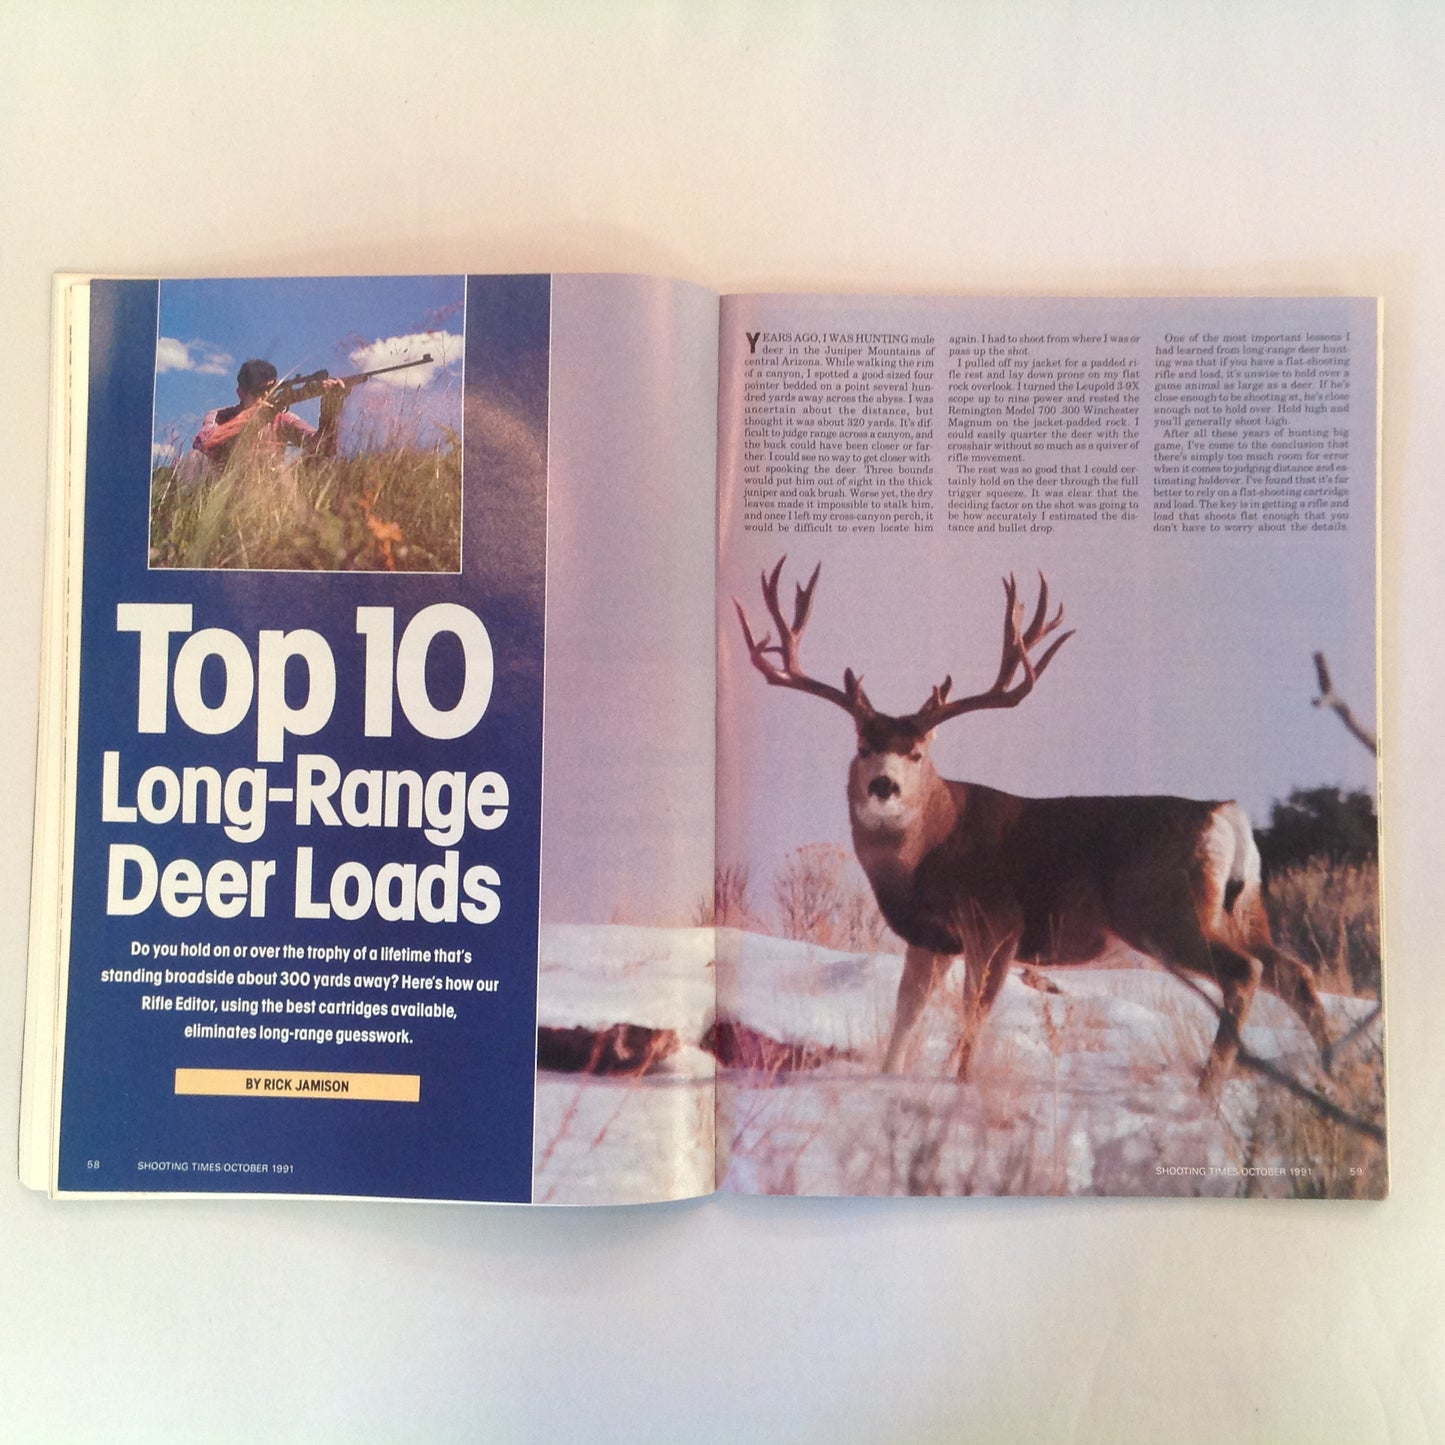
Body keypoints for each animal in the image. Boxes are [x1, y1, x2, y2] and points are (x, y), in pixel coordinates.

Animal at [734, 558, 1335, 1094]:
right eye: (863, 746)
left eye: (918, 751)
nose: (884, 786)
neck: (924, 855)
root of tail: (1225, 814)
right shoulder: (931, 937)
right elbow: (907, 1013)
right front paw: (890, 1079)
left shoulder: (996, 921)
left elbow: (974, 1011)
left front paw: (960, 1084)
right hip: (1242, 908)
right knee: (1293, 972)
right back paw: (1329, 1075)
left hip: (1165, 910)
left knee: (1245, 972)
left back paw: (1208, 1092)